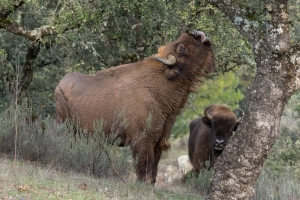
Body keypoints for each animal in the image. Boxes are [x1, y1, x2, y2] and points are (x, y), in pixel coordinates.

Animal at [53, 30, 213, 184]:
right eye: (182, 48)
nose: (196, 34)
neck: (159, 81)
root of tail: (60, 85)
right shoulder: (143, 141)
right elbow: (145, 169)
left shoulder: (158, 142)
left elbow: (153, 171)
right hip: (66, 126)